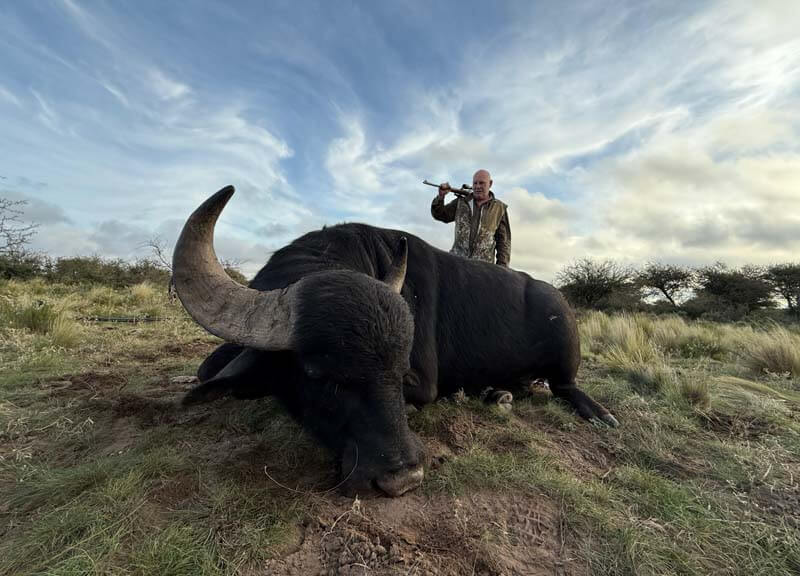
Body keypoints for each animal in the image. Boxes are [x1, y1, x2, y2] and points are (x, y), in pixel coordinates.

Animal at [172, 186, 618, 497]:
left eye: (400, 371)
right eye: (317, 374)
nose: (403, 478)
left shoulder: (424, 384)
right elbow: (208, 368)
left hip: (565, 351)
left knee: (565, 386)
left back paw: (598, 414)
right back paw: (498, 393)